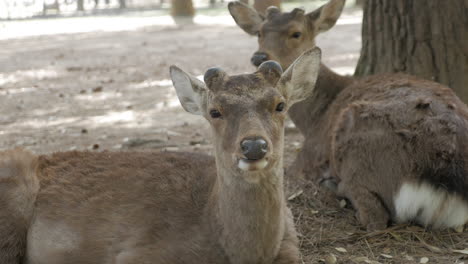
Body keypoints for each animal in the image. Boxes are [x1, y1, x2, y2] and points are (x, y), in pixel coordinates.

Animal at [229, 0, 468, 231]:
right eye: (259, 32)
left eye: (296, 33)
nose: (259, 57)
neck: (314, 119)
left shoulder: (309, 155)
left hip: (358, 142)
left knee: (374, 218)